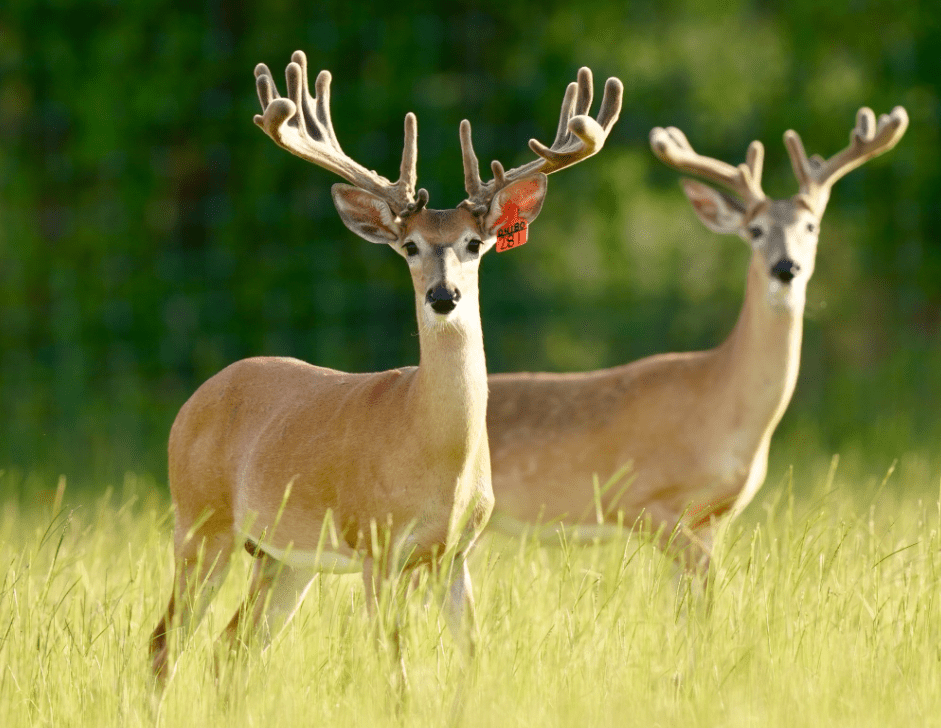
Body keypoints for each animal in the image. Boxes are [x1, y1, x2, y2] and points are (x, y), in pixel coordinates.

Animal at [148, 50, 623, 683]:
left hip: (282, 558)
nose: (444, 296)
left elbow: (475, 654)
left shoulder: (455, 554)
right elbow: (392, 666)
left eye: (475, 243)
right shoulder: (376, 544)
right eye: (410, 246)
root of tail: (193, 403)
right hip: (201, 522)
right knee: (164, 645)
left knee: (232, 649)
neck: (437, 456)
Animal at [485, 105, 908, 572]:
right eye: (755, 230)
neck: (723, 406)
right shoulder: (631, 497)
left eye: (811, 227)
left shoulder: (712, 518)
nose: (786, 268)